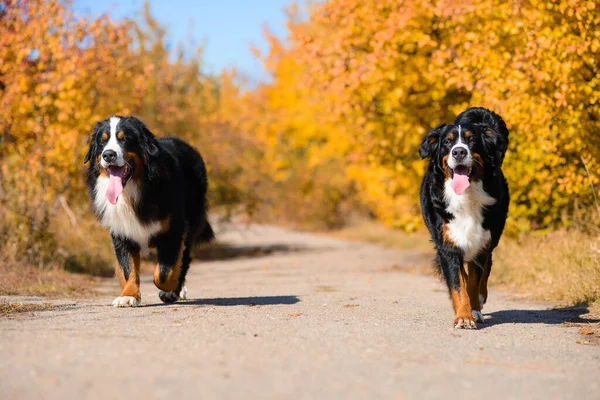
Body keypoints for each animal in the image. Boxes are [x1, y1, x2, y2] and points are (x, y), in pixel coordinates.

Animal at [83, 115, 214, 306]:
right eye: (103, 140)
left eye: (124, 139)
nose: (108, 154)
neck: (131, 191)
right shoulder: (122, 232)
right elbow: (128, 267)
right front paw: (128, 295)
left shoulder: (173, 230)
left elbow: (164, 272)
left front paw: (171, 288)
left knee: (185, 258)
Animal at [420, 106, 508, 328]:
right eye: (447, 141)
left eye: (472, 140)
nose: (459, 151)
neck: (466, 197)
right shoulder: (447, 245)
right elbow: (458, 285)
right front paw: (464, 316)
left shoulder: (481, 241)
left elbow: (474, 282)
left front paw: (474, 310)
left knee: (486, 268)